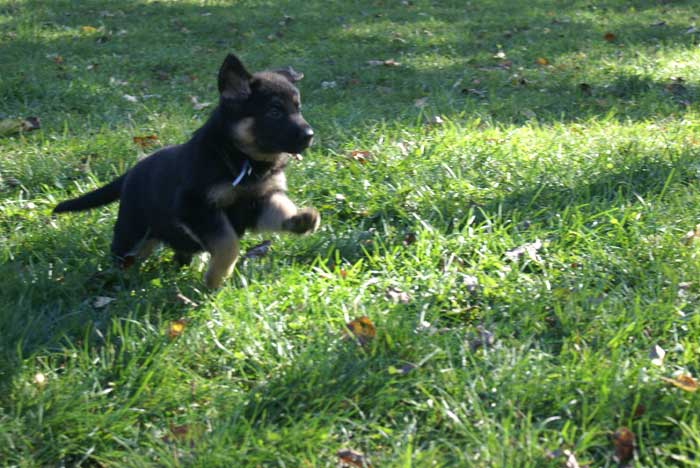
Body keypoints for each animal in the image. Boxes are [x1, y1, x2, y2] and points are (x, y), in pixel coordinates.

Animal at [52, 54, 320, 288]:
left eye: (298, 108)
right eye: (275, 112)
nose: (310, 136)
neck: (242, 159)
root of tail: (132, 170)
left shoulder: (260, 199)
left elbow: (280, 209)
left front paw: (300, 219)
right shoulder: (196, 206)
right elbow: (228, 244)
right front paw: (215, 279)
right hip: (133, 231)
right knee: (124, 255)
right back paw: (117, 279)